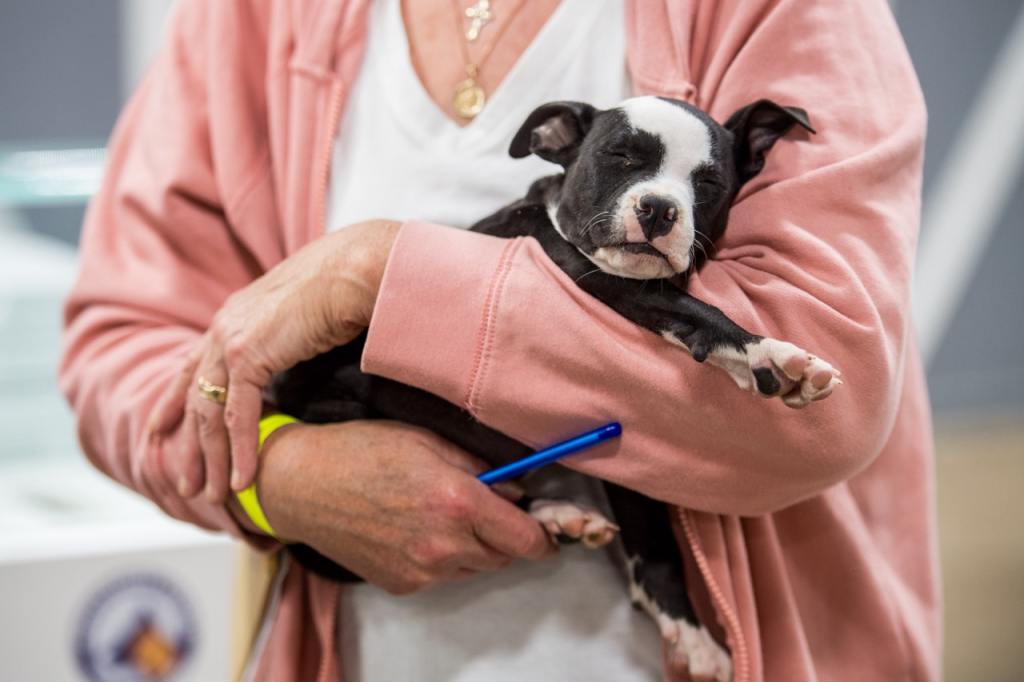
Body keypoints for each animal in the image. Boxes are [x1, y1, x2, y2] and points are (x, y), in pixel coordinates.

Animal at [272, 95, 839, 679]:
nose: (659, 208)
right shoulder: (595, 280)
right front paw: (770, 354)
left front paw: (689, 631)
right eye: (619, 156)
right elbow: (694, 309)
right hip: (346, 415)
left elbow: (656, 539)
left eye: (707, 183)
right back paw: (555, 512)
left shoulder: (634, 457)